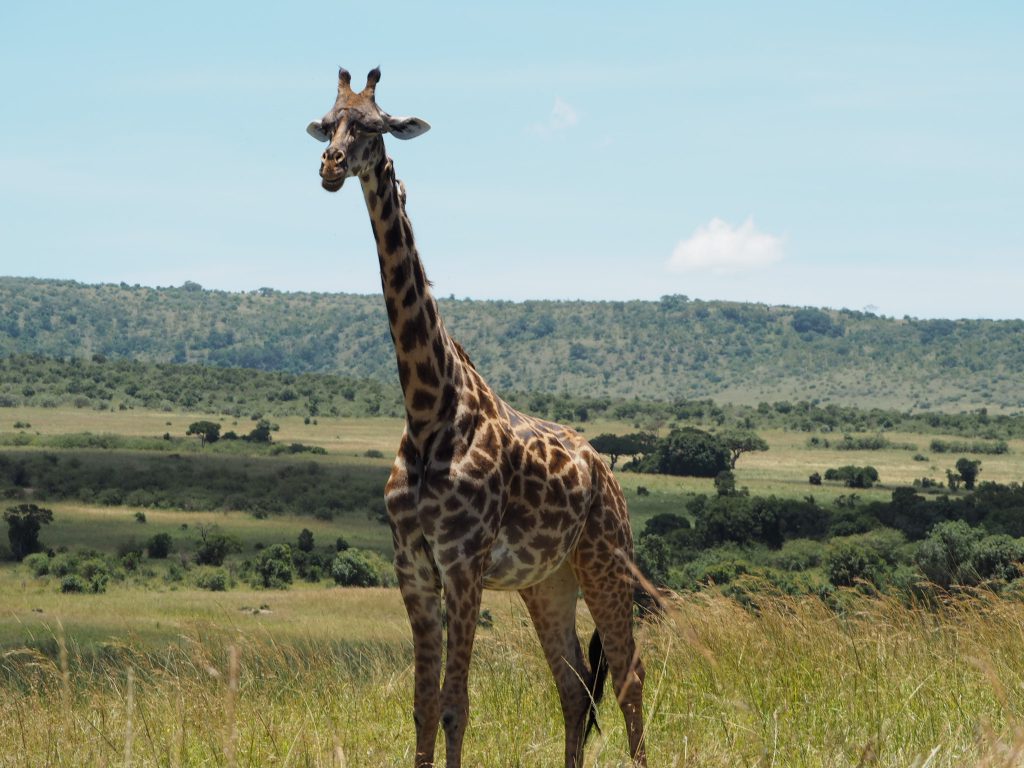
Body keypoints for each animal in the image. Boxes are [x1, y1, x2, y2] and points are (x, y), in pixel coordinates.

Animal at [305, 67, 647, 768]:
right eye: (327, 123)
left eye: (374, 125)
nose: (329, 167)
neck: (428, 409)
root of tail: (607, 474)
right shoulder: (414, 568)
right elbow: (422, 708)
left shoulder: (463, 565)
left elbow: (456, 707)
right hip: (549, 582)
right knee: (575, 687)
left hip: (606, 562)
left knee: (629, 678)